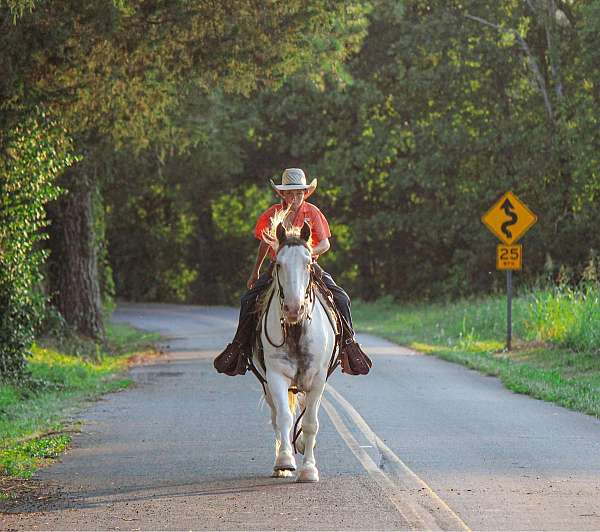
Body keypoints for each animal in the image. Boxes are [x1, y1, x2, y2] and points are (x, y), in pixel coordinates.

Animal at [253, 220, 338, 482]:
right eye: (278, 264)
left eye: (308, 263)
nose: (293, 308)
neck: (296, 329)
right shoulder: (275, 376)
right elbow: (284, 418)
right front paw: (285, 461)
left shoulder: (318, 379)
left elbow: (310, 423)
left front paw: (309, 469)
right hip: (266, 383)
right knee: (277, 417)